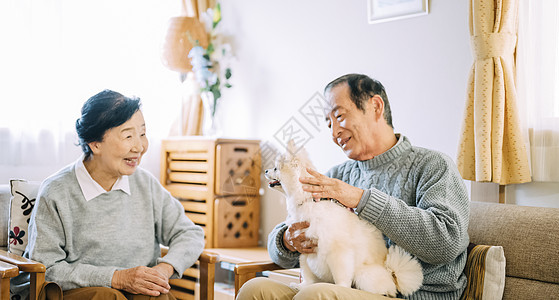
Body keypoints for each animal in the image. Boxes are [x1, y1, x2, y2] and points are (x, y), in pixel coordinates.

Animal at [266, 142, 424, 296]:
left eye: (275, 168)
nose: (266, 171)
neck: (309, 201)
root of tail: (391, 273)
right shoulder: (304, 249)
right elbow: (307, 274)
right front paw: (303, 286)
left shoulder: (338, 251)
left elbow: (341, 274)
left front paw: (341, 287)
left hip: (364, 276)